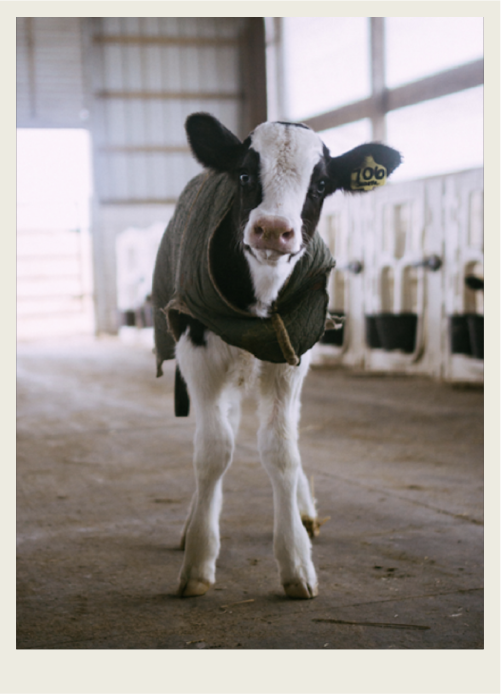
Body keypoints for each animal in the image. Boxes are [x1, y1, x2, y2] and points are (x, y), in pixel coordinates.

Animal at [150, 113, 400, 600]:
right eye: (245, 175)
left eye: (320, 184)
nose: (270, 229)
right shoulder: (196, 347)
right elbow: (213, 449)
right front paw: (198, 561)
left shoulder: (292, 353)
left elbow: (281, 449)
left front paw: (296, 561)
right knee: (223, 428)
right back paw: (194, 523)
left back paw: (304, 511)